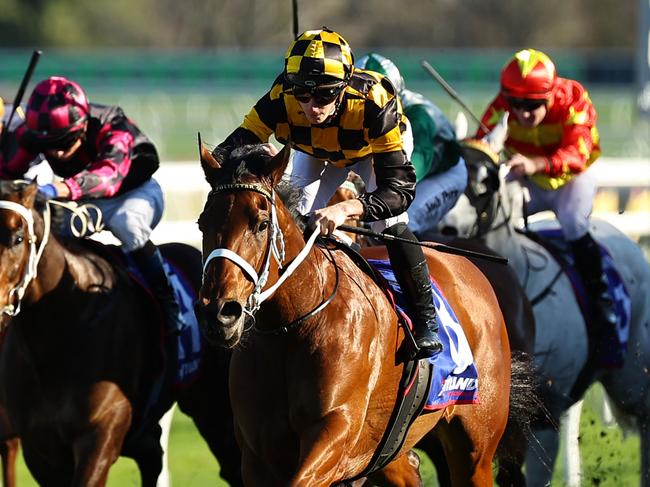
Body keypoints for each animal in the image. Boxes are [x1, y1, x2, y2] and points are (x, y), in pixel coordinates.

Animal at [194, 143, 512, 486]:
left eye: (261, 223)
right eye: (202, 223)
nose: (219, 313)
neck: (291, 327)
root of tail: (470, 270)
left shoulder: (336, 432)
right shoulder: (257, 457)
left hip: (474, 447)